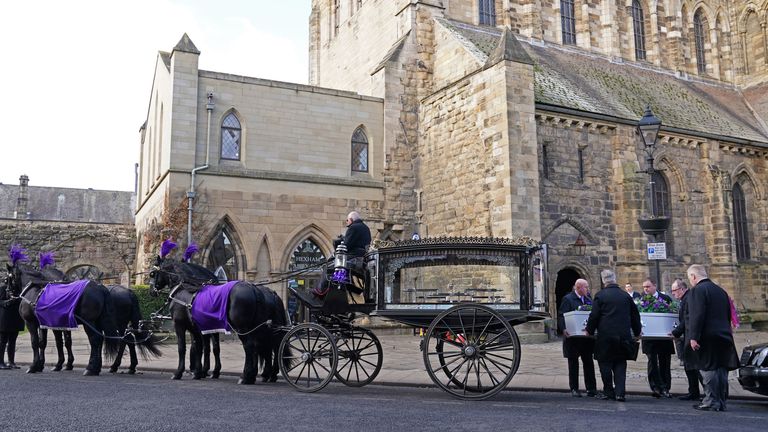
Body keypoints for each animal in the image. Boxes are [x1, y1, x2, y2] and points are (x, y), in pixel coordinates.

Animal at [152, 255, 290, 384]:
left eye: (152, 273)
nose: (151, 291)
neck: (185, 290)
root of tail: (255, 289)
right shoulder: (200, 328)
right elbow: (204, 348)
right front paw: (200, 372)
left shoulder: (181, 325)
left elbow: (184, 348)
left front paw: (181, 372)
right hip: (259, 328)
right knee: (265, 347)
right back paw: (261, 375)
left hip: (243, 328)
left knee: (252, 347)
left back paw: (247, 376)